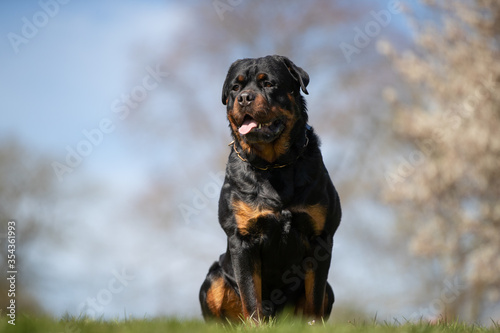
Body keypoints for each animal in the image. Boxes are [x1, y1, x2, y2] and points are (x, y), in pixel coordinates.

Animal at [200, 54, 344, 322]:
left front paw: (313, 324)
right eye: (235, 87)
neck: (274, 166)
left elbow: (315, 295)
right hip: (214, 276)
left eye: (268, 84)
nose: (245, 97)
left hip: (329, 288)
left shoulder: (321, 238)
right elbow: (250, 293)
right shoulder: (242, 239)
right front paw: (256, 325)